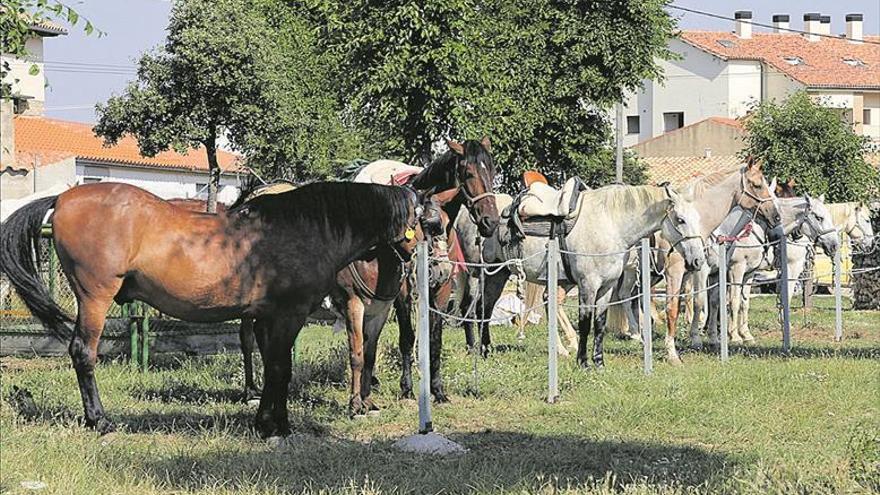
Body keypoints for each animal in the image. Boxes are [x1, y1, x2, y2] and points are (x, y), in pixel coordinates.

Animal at [458, 184, 704, 370]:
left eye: (697, 218)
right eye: (680, 219)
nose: (698, 260)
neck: (611, 225)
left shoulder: (606, 288)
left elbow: (600, 324)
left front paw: (599, 363)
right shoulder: (588, 285)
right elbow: (585, 323)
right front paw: (583, 362)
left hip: (499, 274)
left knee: (486, 308)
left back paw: (486, 350)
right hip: (479, 273)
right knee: (472, 307)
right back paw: (477, 349)